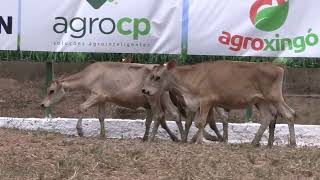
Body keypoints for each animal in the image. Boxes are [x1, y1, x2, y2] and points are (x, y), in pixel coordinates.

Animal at [141, 59, 296, 147]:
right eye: (151, 75)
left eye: (157, 77)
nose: (144, 90)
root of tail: (277, 67)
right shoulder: (197, 103)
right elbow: (193, 123)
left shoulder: (206, 101)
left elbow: (200, 122)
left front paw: (199, 141)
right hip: (261, 101)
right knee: (267, 118)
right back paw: (254, 142)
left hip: (275, 97)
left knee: (289, 114)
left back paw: (292, 143)